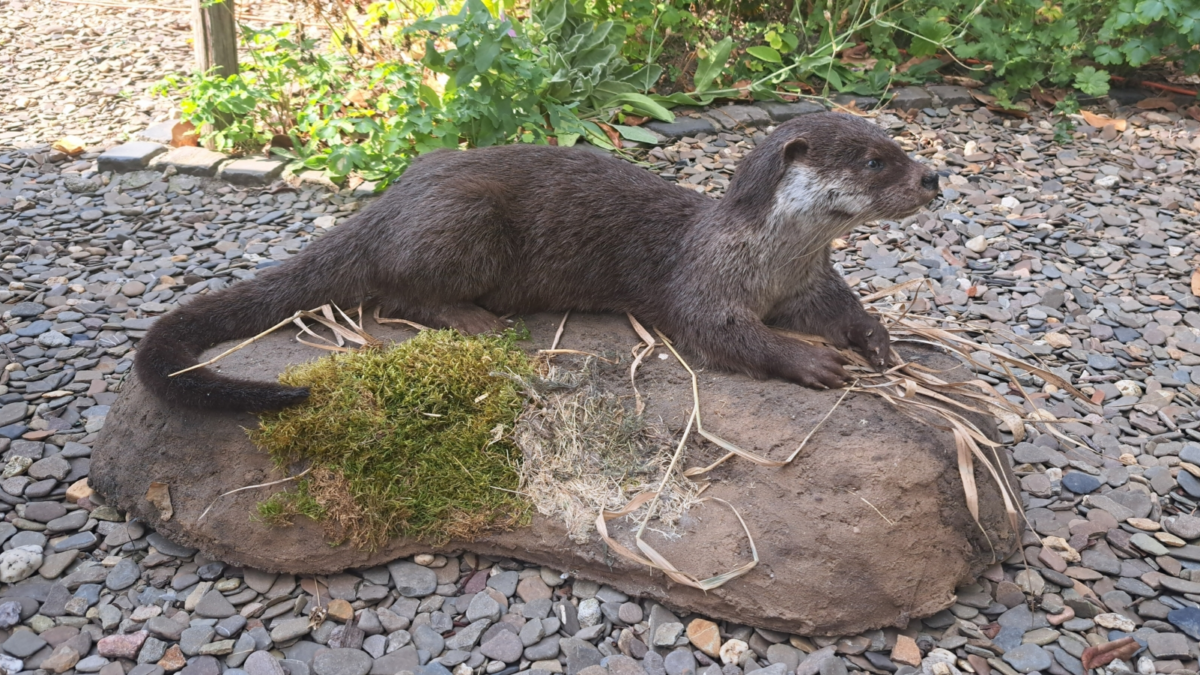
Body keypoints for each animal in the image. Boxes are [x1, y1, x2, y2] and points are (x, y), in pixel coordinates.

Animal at [135, 112, 938, 412]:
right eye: (875, 160)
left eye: (899, 143)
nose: (932, 178)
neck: (764, 258)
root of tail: (386, 203)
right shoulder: (702, 287)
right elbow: (726, 335)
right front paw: (808, 361)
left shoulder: (810, 281)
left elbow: (844, 309)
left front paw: (879, 343)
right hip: (461, 224)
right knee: (396, 297)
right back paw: (477, 322)